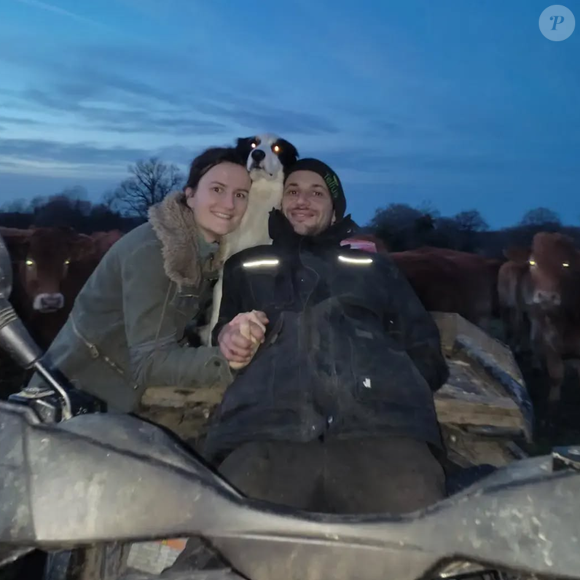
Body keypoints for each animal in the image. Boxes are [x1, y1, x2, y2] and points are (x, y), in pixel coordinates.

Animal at [496, 232, 580, 426]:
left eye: (566, 264)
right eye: (533, 262)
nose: (547, 297)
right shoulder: (550, 341)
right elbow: (556, 375)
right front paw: (551, 412)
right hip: (510, 307)